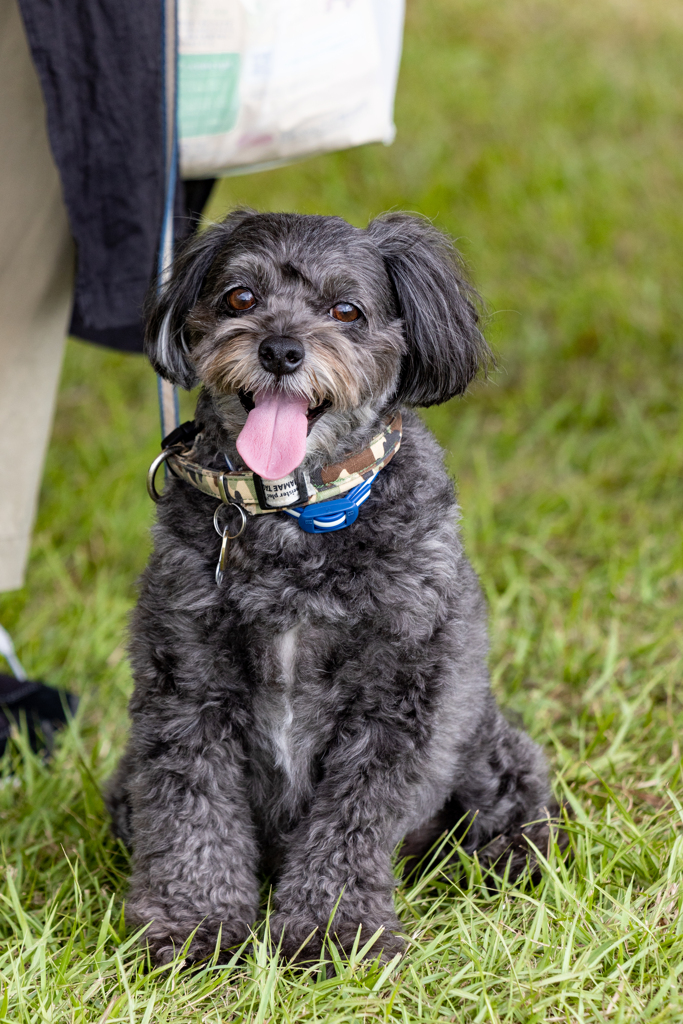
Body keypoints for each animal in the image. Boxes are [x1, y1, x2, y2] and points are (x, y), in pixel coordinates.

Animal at [105, 209, 561, 966]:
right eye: (239, 297)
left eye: (347, 310)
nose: (281, 350)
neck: (296, 515)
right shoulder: (188, 690)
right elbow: (190, 813)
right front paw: (194, 927)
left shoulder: (396, 704)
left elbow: (349, 829)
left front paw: (329, 936)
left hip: (485, 748)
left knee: (518, 809)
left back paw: (508, 861)